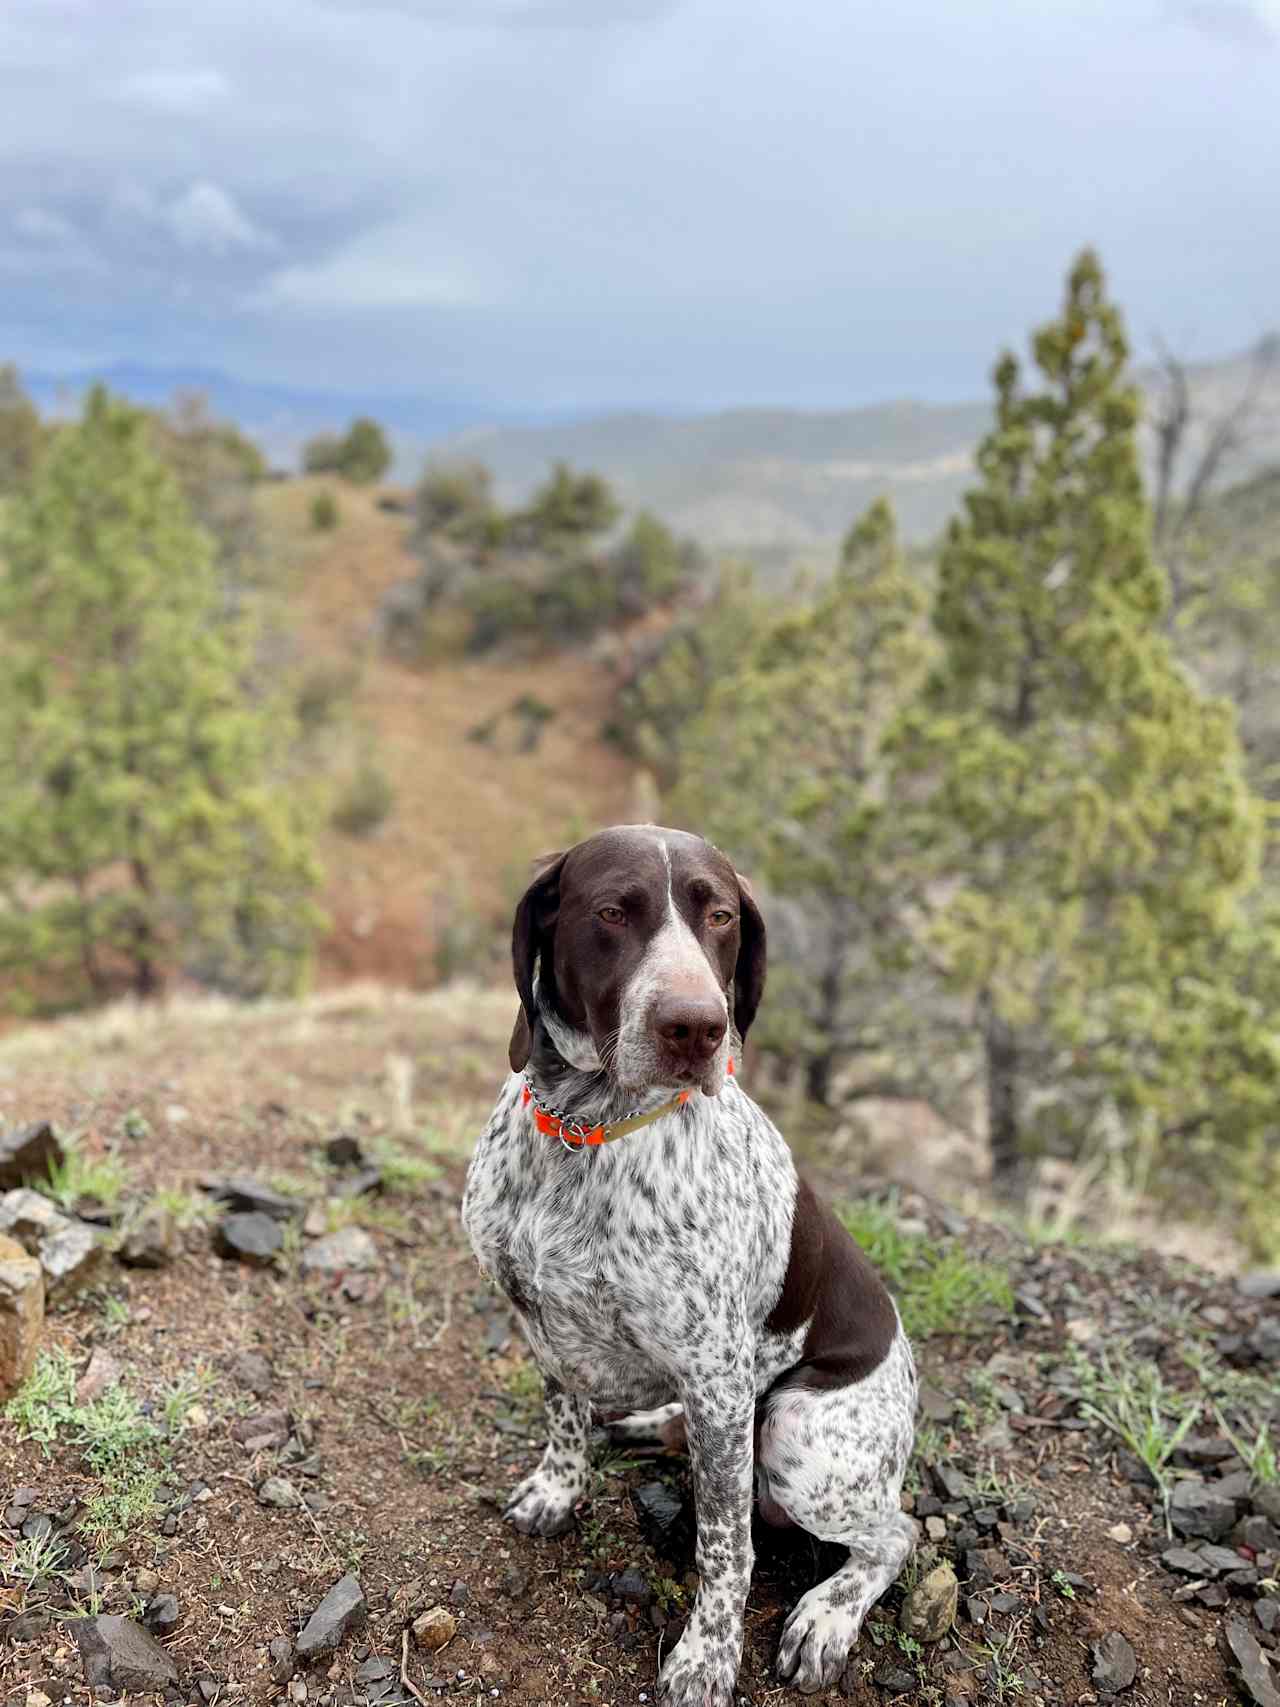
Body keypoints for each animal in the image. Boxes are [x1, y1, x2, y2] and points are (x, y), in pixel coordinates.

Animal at [467, 822, 914, 1693]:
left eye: (721, 916)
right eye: (613, 910)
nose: (697, 1027)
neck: (591, 1129)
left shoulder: (717, 1370)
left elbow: (726, 1545)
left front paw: (707, 1655)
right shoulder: (538, 1318)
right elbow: (564, 1416)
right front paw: (558, 1488)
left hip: (797, 1432)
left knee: (895, 1532)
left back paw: (827, 1616)